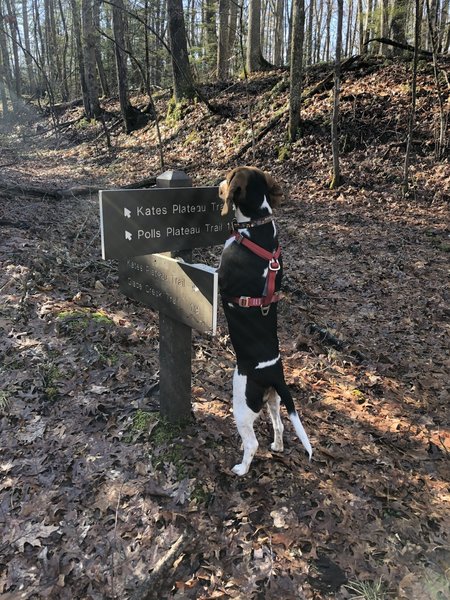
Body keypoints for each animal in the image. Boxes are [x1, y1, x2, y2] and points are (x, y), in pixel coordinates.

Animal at [218, 166, 312, 476]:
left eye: (228, 177)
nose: (218, 184)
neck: (258, 229)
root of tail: (274, 375)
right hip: (273, 400)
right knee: (280, 425)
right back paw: (278, 446)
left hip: (242, 403)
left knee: (252, 444)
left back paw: (241, 469)